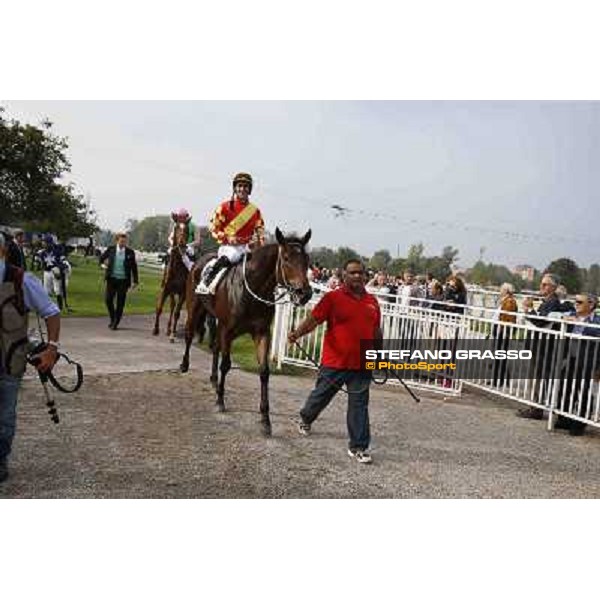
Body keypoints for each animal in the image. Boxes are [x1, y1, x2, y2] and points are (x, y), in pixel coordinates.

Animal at [179, 227, 312, 434]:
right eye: (287, 258)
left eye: (307, 260)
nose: (305, 293)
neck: (252, 290)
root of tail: (199, 260)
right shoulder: (228, 330)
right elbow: (226, 364)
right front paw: (220, 401)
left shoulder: (261, 332)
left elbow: (264, 372)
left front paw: (265, 419)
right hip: (195, 307)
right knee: (189, 335)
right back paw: (184, 365)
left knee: (215, 346)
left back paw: (214, 380)